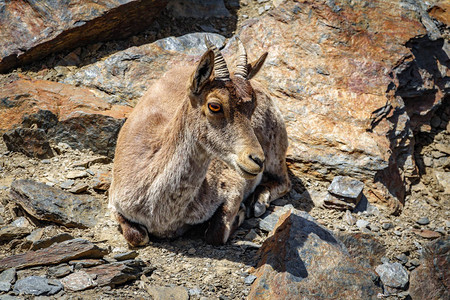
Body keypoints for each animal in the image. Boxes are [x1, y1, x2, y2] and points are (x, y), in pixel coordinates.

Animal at [110, 37, 290, 246]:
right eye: (214, 105)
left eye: (252, 106)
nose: (256, 160)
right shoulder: (114, 202)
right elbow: (137, 236)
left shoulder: (233, 187)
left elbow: (216, 234)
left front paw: (241, 213)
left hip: (276, 148)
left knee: (284, 182)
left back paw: (258, 202)